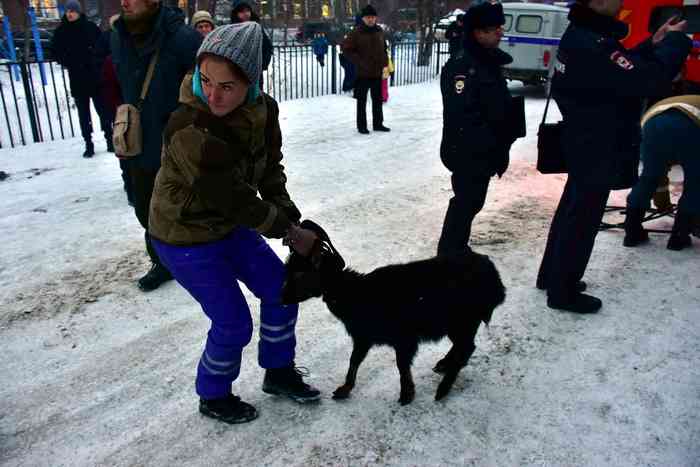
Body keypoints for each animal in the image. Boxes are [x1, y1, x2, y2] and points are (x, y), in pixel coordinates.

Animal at [282, 221, 506, 404]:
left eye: (300, 274)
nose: (281, 298)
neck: (355, 294)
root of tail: (496, 281)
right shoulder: (364, 336)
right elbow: (354, 361)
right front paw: (344, 389)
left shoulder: (403, 337)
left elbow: (401, 365)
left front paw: (407, 394)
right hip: (461, 322)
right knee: (464, 347)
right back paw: (444, 365)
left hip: (463, 319)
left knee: (467, 347)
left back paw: (443, 389)